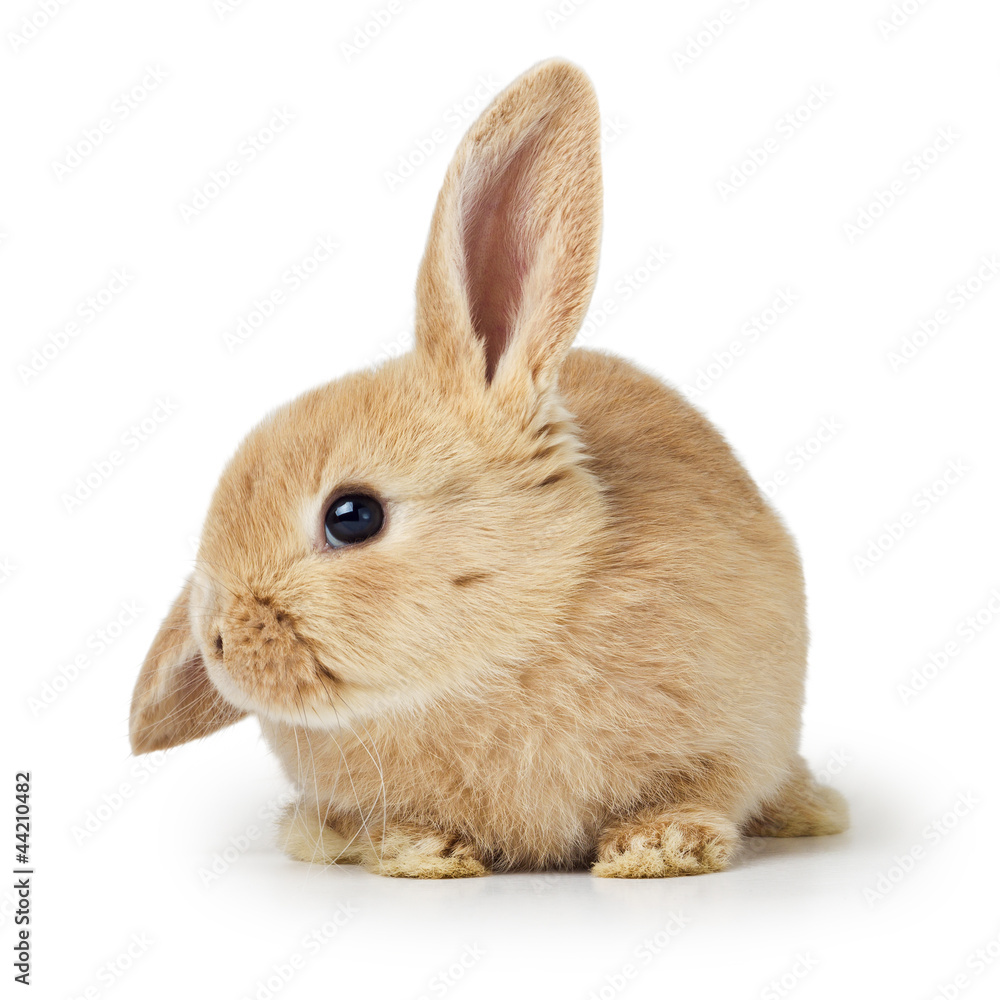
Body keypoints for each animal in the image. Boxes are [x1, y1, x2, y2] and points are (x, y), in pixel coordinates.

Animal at [129, 58, 847, 879]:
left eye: (353, 516)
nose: (216, 640)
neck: (507, 647)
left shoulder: (737, 734)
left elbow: (706, 787)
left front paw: (659, 847)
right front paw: (419, 852)